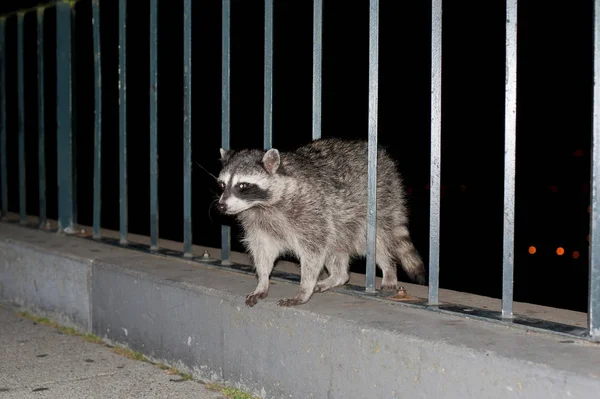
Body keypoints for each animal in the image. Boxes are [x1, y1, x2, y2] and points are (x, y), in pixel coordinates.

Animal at [217, 139, 426, 308]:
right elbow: (263, 251)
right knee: (335, 249)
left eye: (243, 185)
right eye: (222, 185)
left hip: (381, 201)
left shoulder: (310, 211)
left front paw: (304, 288)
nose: (221, 206)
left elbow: (313, 253)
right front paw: (262, 281)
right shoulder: (258, 224)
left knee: (376, 241)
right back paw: (338, 276)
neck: (261, 206)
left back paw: (388, 268)